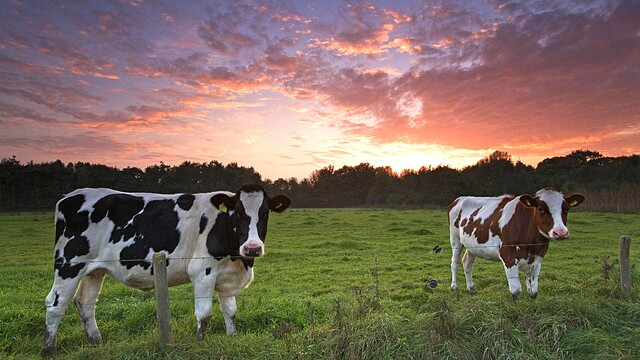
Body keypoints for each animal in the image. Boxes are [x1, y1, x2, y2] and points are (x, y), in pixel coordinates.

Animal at [40, 186, 290, 358]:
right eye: (238, 213)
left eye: (265, 213)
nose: (252, 248)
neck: (238, 258)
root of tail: (70, 196)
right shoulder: (203, 272)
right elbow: (204, 314)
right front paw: (200, 343)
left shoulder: (227, 277)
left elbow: (230, 312)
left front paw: (232, 337)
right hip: (69, 264)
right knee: (55, 304)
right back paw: (48, 349)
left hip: (94, 269)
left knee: (85, 303)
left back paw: (96, 341)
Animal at [448, 187, 584, 300]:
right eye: (541, 209)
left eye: (566, 209)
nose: (560, 232)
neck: (532, 245)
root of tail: (460, 199)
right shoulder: (508, 256)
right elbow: (516, 291)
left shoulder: (537, 259)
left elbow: (533, 291)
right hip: (455, 239)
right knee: (455, 263)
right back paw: (454, 287)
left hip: (472, 245)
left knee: (467, 263)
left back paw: (471, 289)